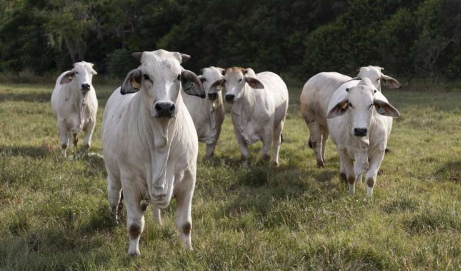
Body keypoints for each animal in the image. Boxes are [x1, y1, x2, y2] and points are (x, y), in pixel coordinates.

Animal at [103, 50, 206, 256]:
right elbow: (135, 225)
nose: (165, 107)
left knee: (154, 206)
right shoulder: (130, 181)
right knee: (114, 196)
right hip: (113, 174)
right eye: (146, 76)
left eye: (179, 76)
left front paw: (188, 249)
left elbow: (185, 223)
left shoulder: (189, 178)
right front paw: (133, 253)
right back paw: (114, 220)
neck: (161, 140)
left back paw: (157, 222)